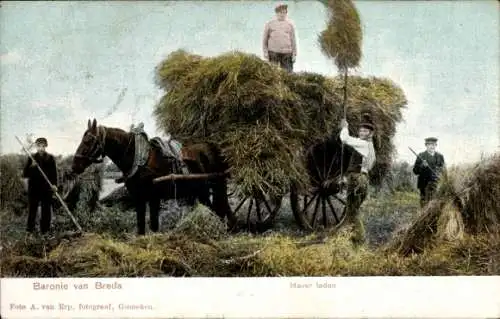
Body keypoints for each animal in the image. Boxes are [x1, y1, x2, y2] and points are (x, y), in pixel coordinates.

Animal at [69, 119, 238, 236]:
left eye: (88, 140)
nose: (74, 165)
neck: (139, 158)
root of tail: (212, 148)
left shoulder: (153, 196)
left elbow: (154, 223)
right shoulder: (139, 197)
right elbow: (141, 224)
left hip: (208, 190)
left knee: (219, 211)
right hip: (205, 191)